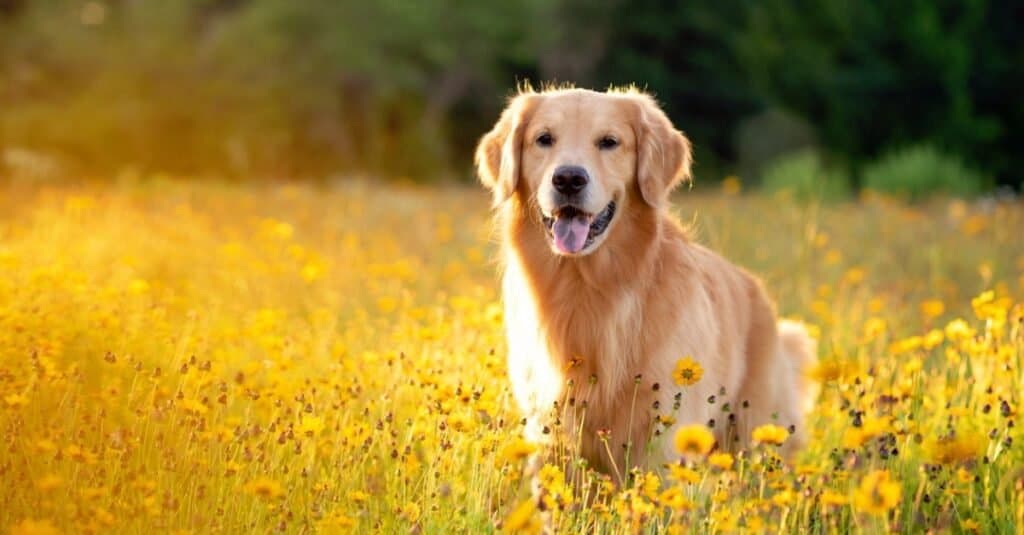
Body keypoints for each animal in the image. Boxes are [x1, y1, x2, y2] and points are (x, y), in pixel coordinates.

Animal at [473, 85, 815, 477]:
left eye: (609, 142)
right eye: (543, 139)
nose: (569, 179)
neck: (588, 288)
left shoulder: (665, 435)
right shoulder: (550, 430)